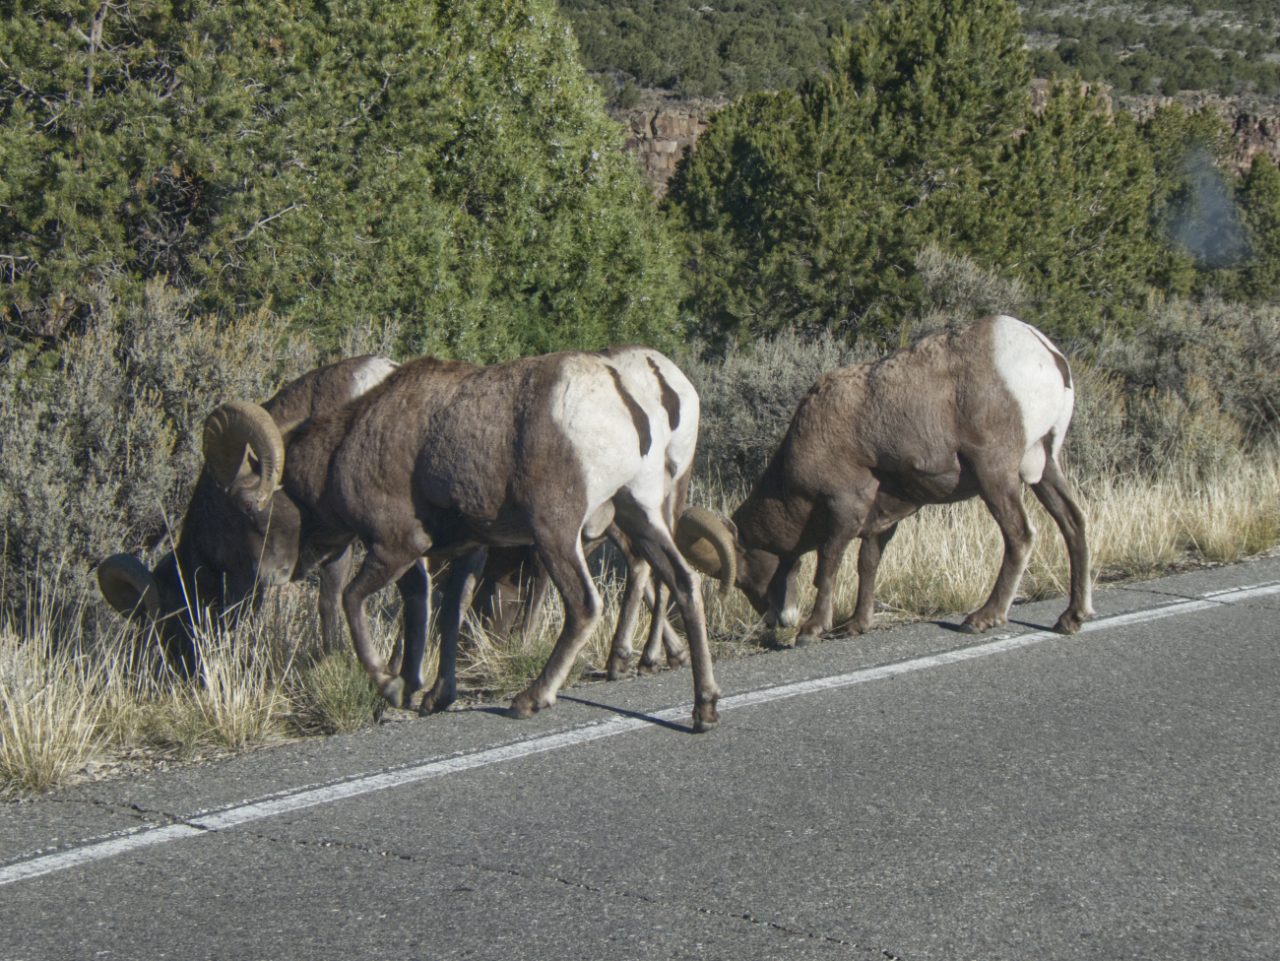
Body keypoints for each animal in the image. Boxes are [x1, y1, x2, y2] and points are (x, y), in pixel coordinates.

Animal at [194, 350, 727, 731]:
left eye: (247, 507)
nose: (275, 574)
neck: (343, 450)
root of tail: (625, 395)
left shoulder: (395, 547)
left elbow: (353, 601)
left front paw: (390, 688)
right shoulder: (458, 553)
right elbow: (438, 613)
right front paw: (427, 695)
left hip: (556, 531)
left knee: (584, 606)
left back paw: (529, 700)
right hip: (641, 512)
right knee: (683, 582)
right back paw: (704, 710)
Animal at [680, 317, 1090, 647]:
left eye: (744, 572)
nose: (775, 621)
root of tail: (1047, 353)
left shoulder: (844, 506)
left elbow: (828, 564)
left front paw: (812, 630)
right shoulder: (882, 516)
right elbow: (868, 562)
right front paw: (855, 625)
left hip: (995, 474)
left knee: (1020, 535)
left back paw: (982, 619)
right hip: (1045, 468)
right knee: (1073, 523)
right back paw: (1071, 618)